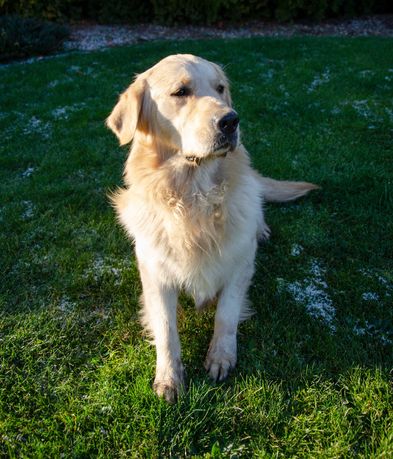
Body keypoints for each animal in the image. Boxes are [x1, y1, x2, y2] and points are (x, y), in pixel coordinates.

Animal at [105, 54, 316, 402]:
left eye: (220, 89)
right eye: (180, 92)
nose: (231, 121)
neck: (195, 197)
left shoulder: (240, 264)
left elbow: (226, 314)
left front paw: (220, 356)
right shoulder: (154, 274)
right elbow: (166, 329)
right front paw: (169, 377)